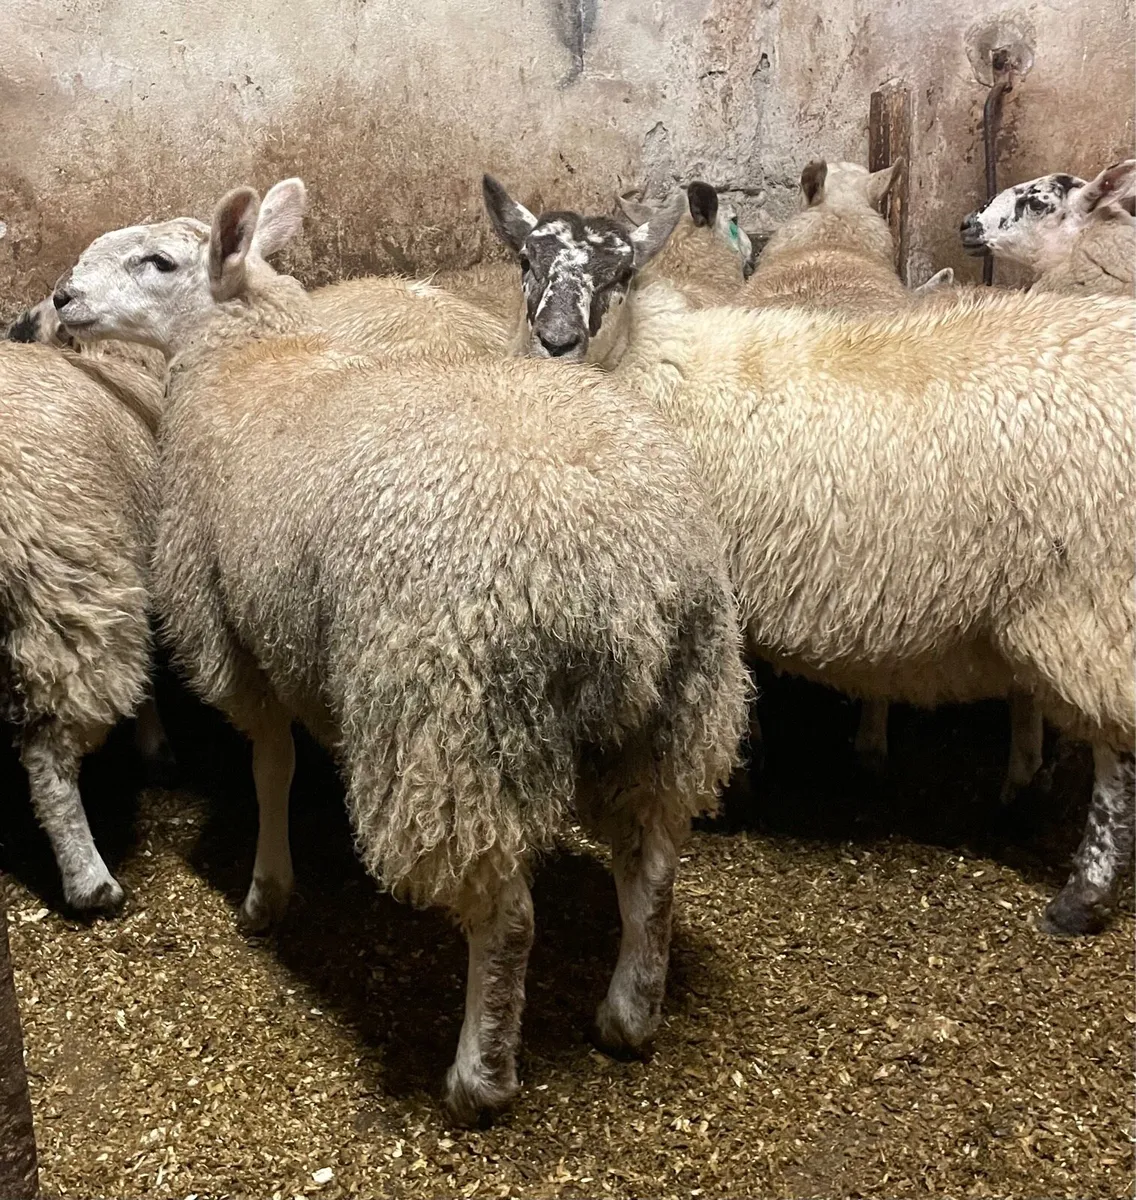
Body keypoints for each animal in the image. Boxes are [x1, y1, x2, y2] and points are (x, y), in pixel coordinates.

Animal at [52, 178, 748, 1123]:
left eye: (156, 262)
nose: (60, 300)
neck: (250, 359)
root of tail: (628, 573)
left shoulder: (236, 635)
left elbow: (271, 769)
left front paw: (268, 893)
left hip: (457, 718)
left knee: (510, 917)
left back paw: (478, 1077)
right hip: (674, 709)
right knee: (654, 869)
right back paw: (627, 1017)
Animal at [483, 177, 1135, 938]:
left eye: (620, 275)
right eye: (525, 261)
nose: (557, 342)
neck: (649, 365)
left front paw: (735, 783)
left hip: (1090, 600)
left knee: (1117, 759)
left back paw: (1079, 896)